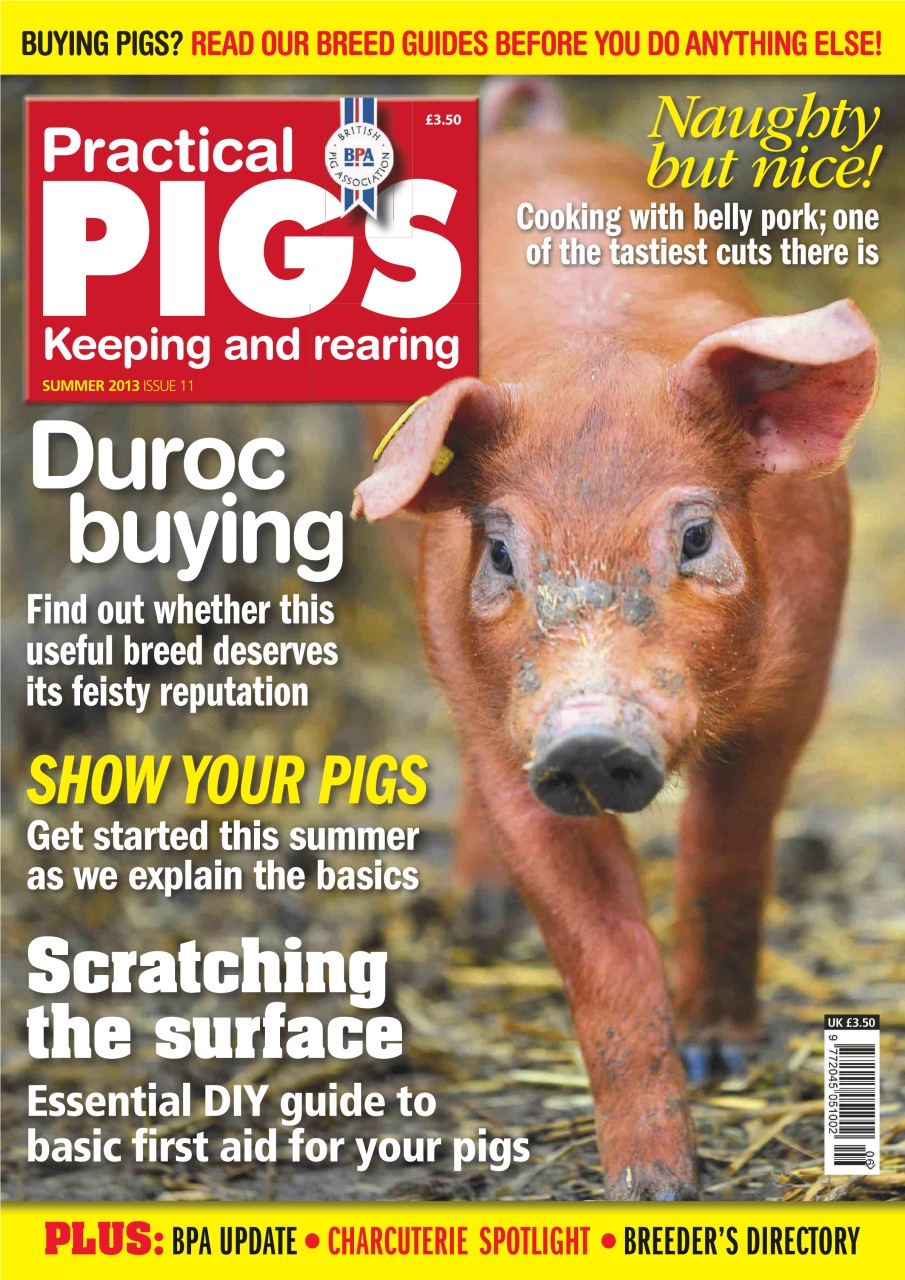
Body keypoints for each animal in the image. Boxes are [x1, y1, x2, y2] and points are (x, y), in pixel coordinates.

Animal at [351, 80, 879, 1199]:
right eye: (499, 551)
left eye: (696, 535)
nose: (590, 734)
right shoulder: (504, 729)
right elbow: (596, 945)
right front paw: (655, 1186)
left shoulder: (798, 682)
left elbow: (725, 851)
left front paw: (722, 1055)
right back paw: (480, 916)